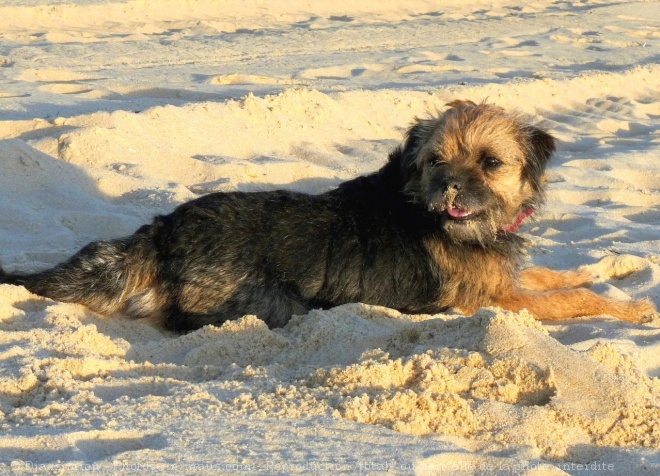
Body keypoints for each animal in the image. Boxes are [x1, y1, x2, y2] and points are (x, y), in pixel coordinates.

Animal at [0, 100, 656, 330]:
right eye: (436, 160)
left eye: (490, 163)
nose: (449, 188)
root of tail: (163, 230)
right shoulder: (497, 300)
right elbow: (568, 298)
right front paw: (631, 307)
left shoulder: (506, 279)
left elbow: (558, 276)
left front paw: (609, 269)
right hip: (270, 302)